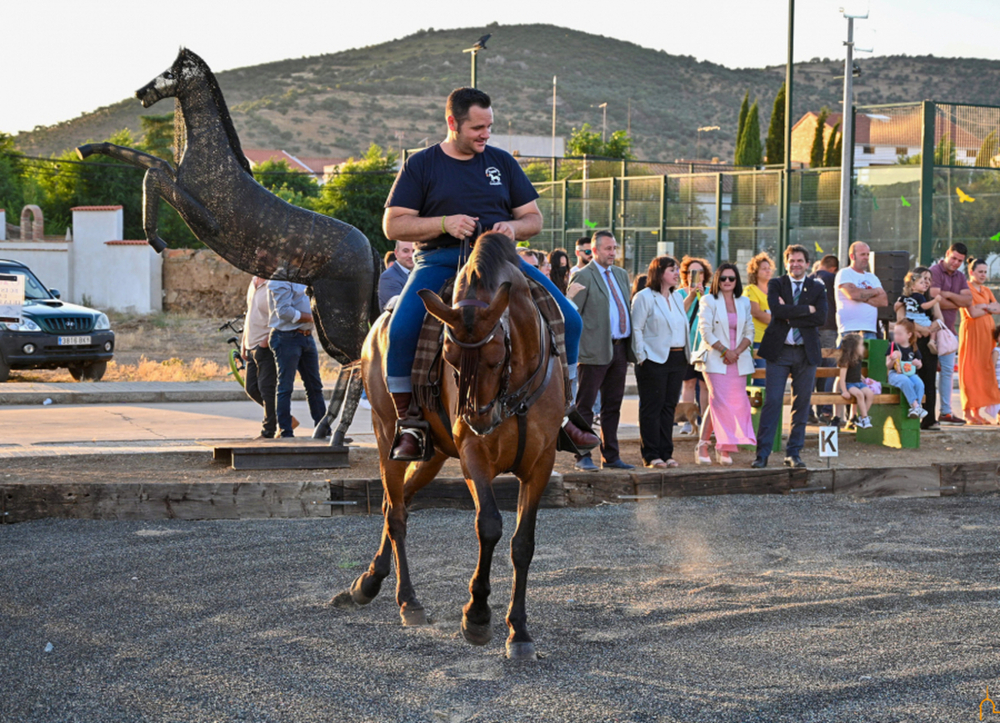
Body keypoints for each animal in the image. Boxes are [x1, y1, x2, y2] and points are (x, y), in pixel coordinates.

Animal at [334, 233, 564, 660]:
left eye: (496, 357)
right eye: (448, 357)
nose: (477, 420)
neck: (513, 394)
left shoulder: (541, 462)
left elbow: (523, 543)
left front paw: (519, 632)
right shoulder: (475, 456)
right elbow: (489, 525)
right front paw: (477, 616)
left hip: (435, 455)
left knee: (397, 502)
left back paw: (369, 581)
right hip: (386, 435)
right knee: (396, 513)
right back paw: (407, 600)